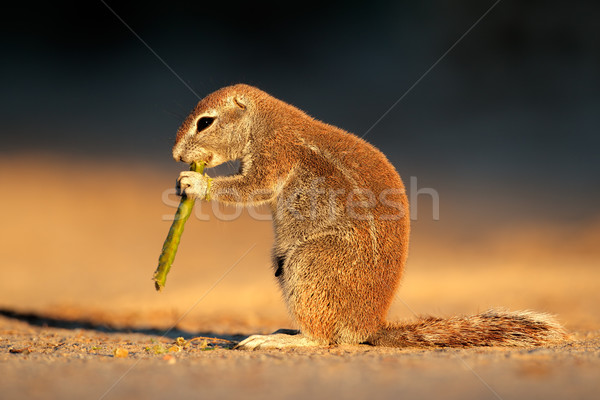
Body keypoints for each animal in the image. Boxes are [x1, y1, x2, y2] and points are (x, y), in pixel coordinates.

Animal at [171, 84, 564, 350]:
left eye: (205, 122)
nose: (176, 155)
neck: (265, 122)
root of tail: (370, 326)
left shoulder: (276, 153)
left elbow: (254, 188)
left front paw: (195, 182)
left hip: (310, 261)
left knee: (324, 339)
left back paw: (281, 340)